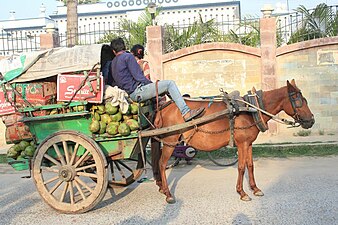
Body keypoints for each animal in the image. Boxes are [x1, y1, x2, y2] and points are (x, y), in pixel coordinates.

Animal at [150, 79, 314, 204]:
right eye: (299, 101)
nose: (311, 120)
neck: (251, 109)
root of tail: (163, 107)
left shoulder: (248, 143)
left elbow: (250, 165)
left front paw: (255, 189)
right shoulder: (242, 144)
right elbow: (241, 167)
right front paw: (242, 192)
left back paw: (162, 187)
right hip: (170, 141)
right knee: (162, 164)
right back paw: (168, 193)